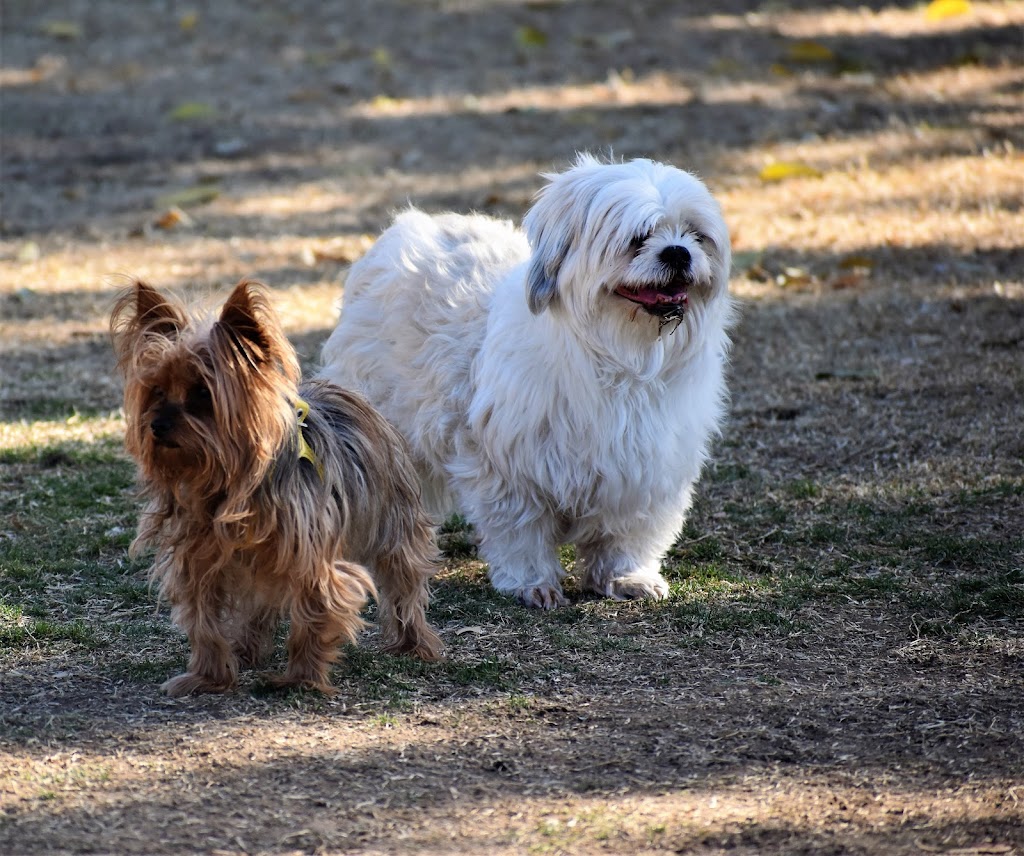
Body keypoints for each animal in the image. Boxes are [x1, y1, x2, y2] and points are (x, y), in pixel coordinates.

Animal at [323, 155, 733, 610]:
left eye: (696, 236)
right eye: (638, 238)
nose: (678, 252)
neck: (623, 356)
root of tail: (404, 228)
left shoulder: (646, 469)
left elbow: (626, 534)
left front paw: (626, 576)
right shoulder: (509, 470)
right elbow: (521, 532)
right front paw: (532, 582)